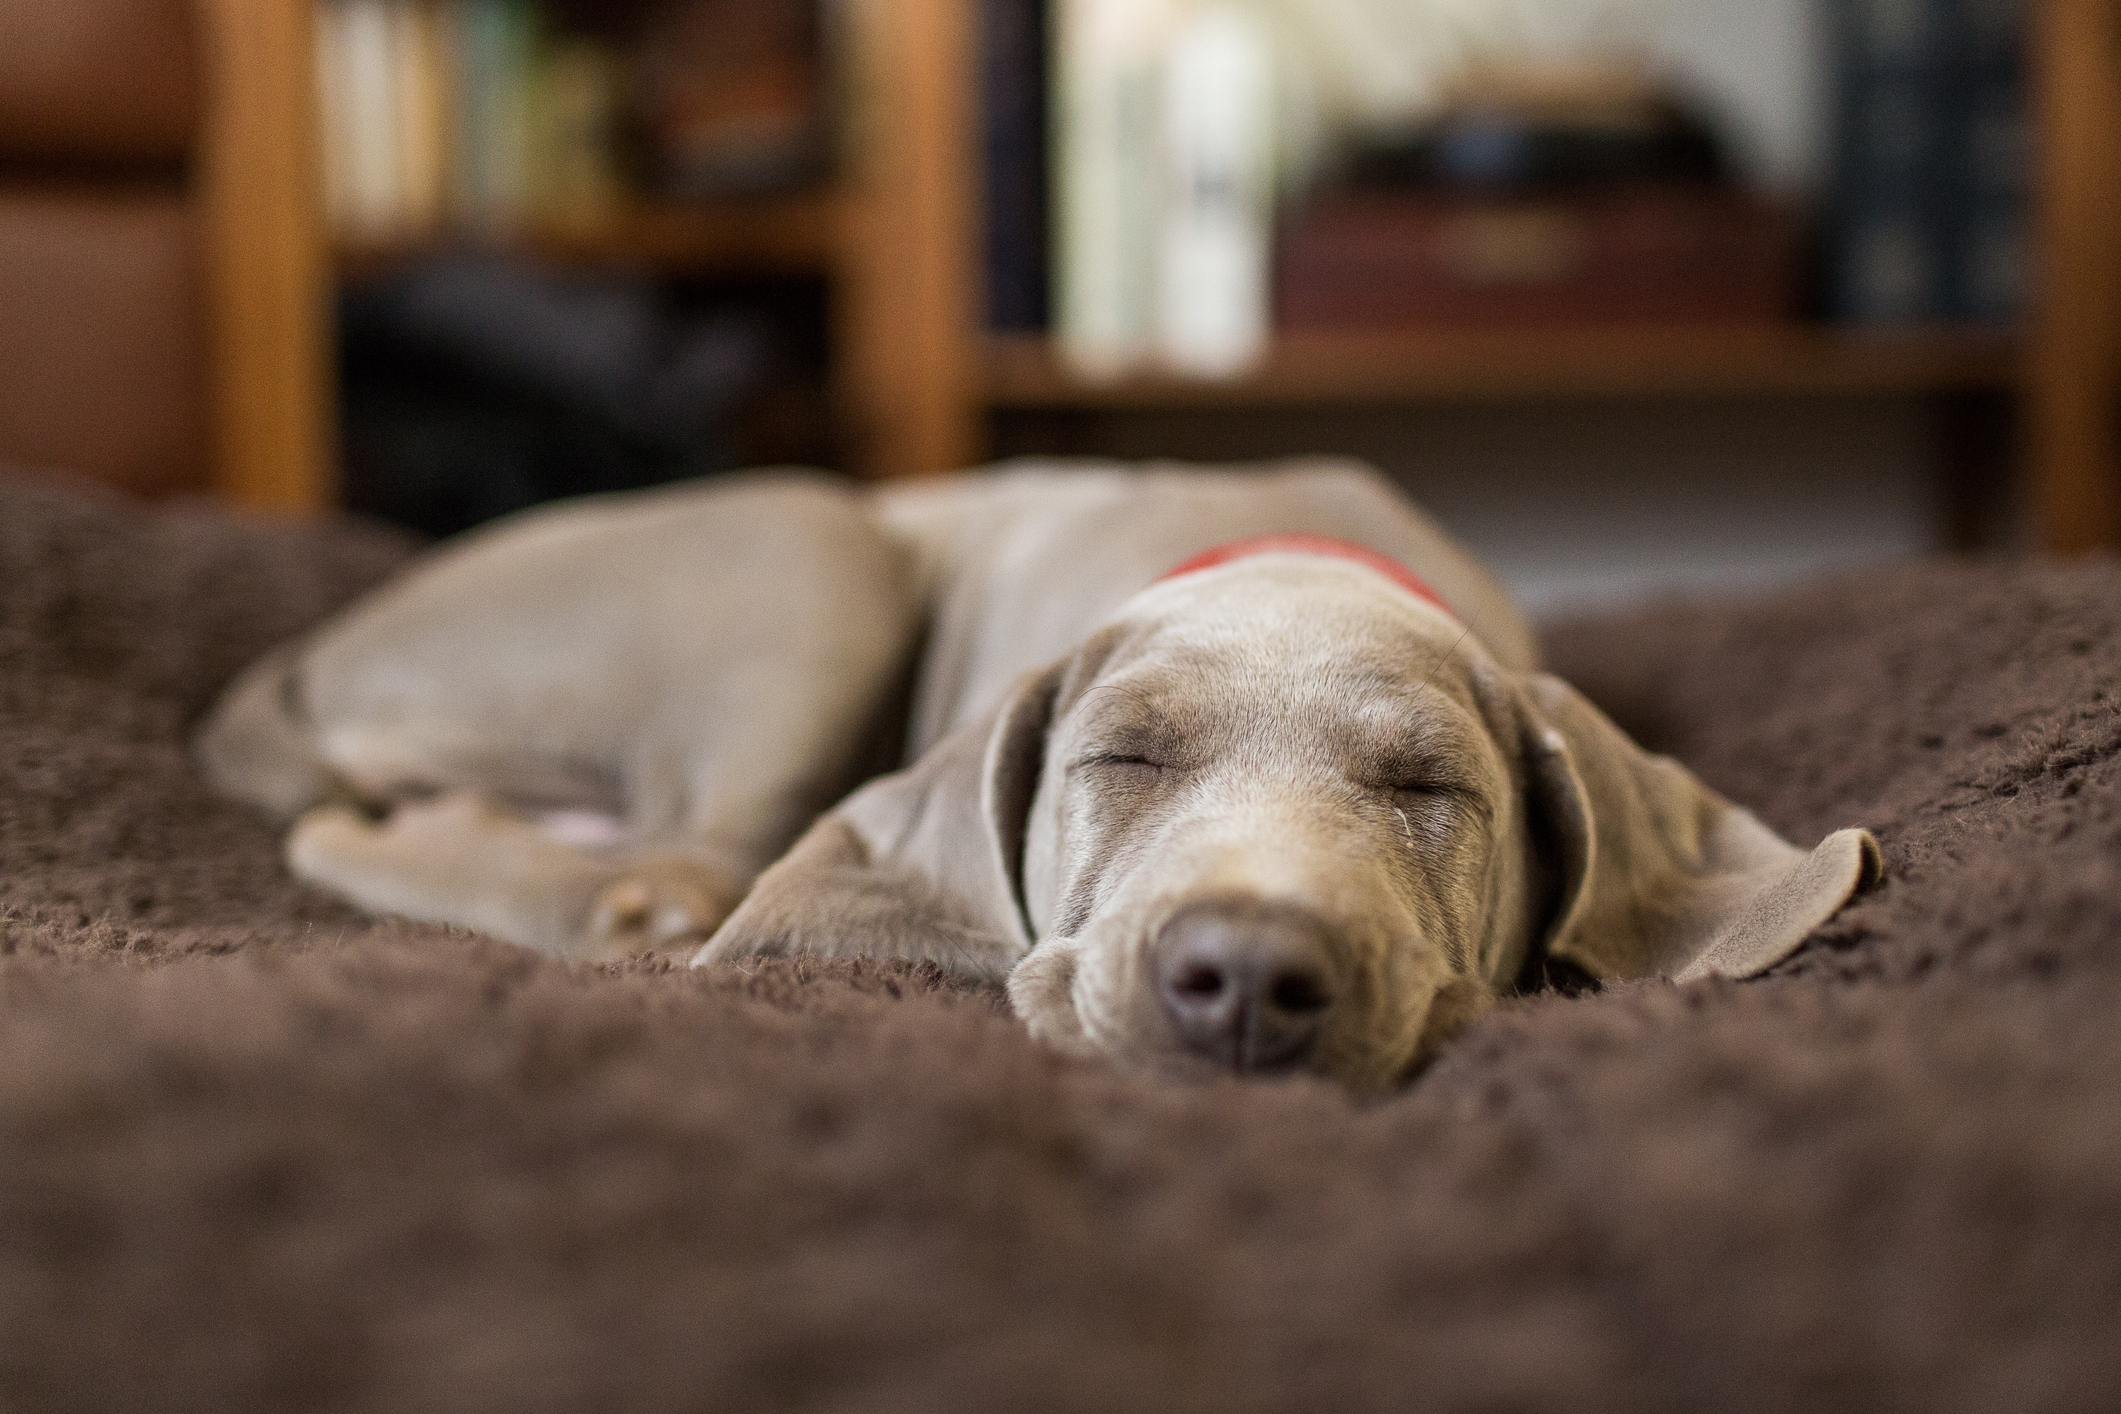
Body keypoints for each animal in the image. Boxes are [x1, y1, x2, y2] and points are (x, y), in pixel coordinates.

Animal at [199, 464, 1883, 1093]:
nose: (1247, 973)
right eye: (1120, 757)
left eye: (1432, 792)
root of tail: (316, 650)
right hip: (810, 552)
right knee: (619, 863)